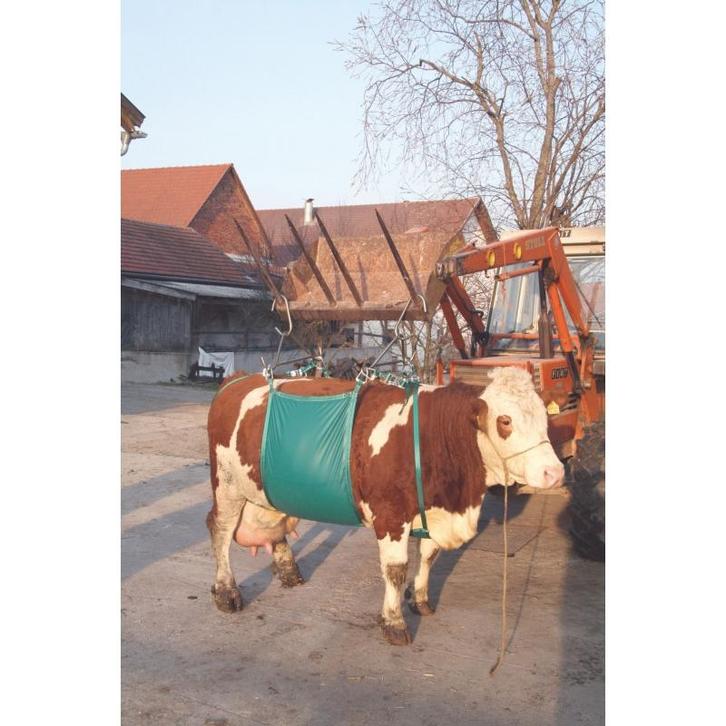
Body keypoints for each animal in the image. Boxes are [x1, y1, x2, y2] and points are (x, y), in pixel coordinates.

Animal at [206, 366, 564, 645]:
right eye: (505, 421)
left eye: (546, 419)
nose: (555, 472)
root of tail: (239, 379)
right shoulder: (391, 516)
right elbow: (396, 569)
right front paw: (393, 621)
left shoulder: (433, 511)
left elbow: (429, 557)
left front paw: (420, 599)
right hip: (227, 486)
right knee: (219, 530)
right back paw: (226, 591)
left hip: (266, 490)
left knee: (272, 523)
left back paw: (289, 570)